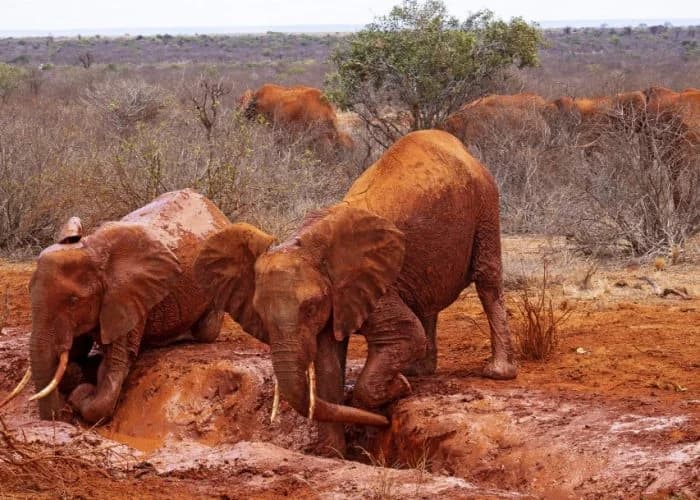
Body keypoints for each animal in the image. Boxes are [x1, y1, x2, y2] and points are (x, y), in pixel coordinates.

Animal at [2, 189, 230, 423]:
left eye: (74, 301)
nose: (60, 416)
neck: (93, 249)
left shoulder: (126, 297)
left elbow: (113, 366)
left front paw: (81, 392)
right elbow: (76, 353)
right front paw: (77, 374)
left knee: (207, 330)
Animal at [193, 129, 517, 455]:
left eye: (311, 307)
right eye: (259, 313)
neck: (308, 243)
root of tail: (456, 144)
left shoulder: (367, 289)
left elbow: (405, 336)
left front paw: (398, 387)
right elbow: (327, 366)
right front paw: (334, 454)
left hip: (486, 204)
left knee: (488, 279)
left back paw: (496, 372)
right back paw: (419, 371)